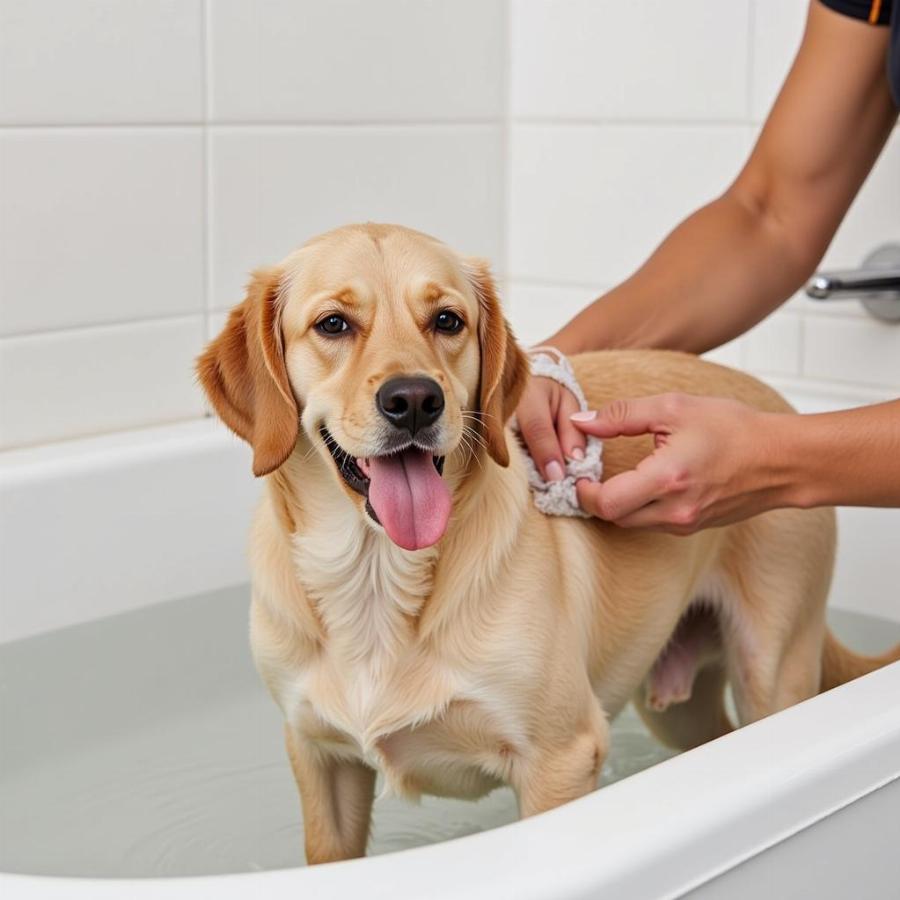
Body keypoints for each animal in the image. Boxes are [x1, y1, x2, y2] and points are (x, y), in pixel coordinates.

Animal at [197, 223, 900, 864]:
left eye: (447, 320)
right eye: (334, 324)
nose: (415, 399)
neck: (376, 576)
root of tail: (781, 404)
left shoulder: (559, 760)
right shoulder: (321, 760)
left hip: (772, 670)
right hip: (679, 710)